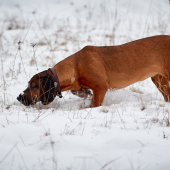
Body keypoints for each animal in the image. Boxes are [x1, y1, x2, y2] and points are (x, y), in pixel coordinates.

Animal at [16, 35, 170, 107]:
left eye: (33, 86)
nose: (18, 97)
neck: (75, 66)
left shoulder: (100, 87)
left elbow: (94, 104)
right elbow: (77, 91)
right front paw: (83, 93)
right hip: (159, 79)